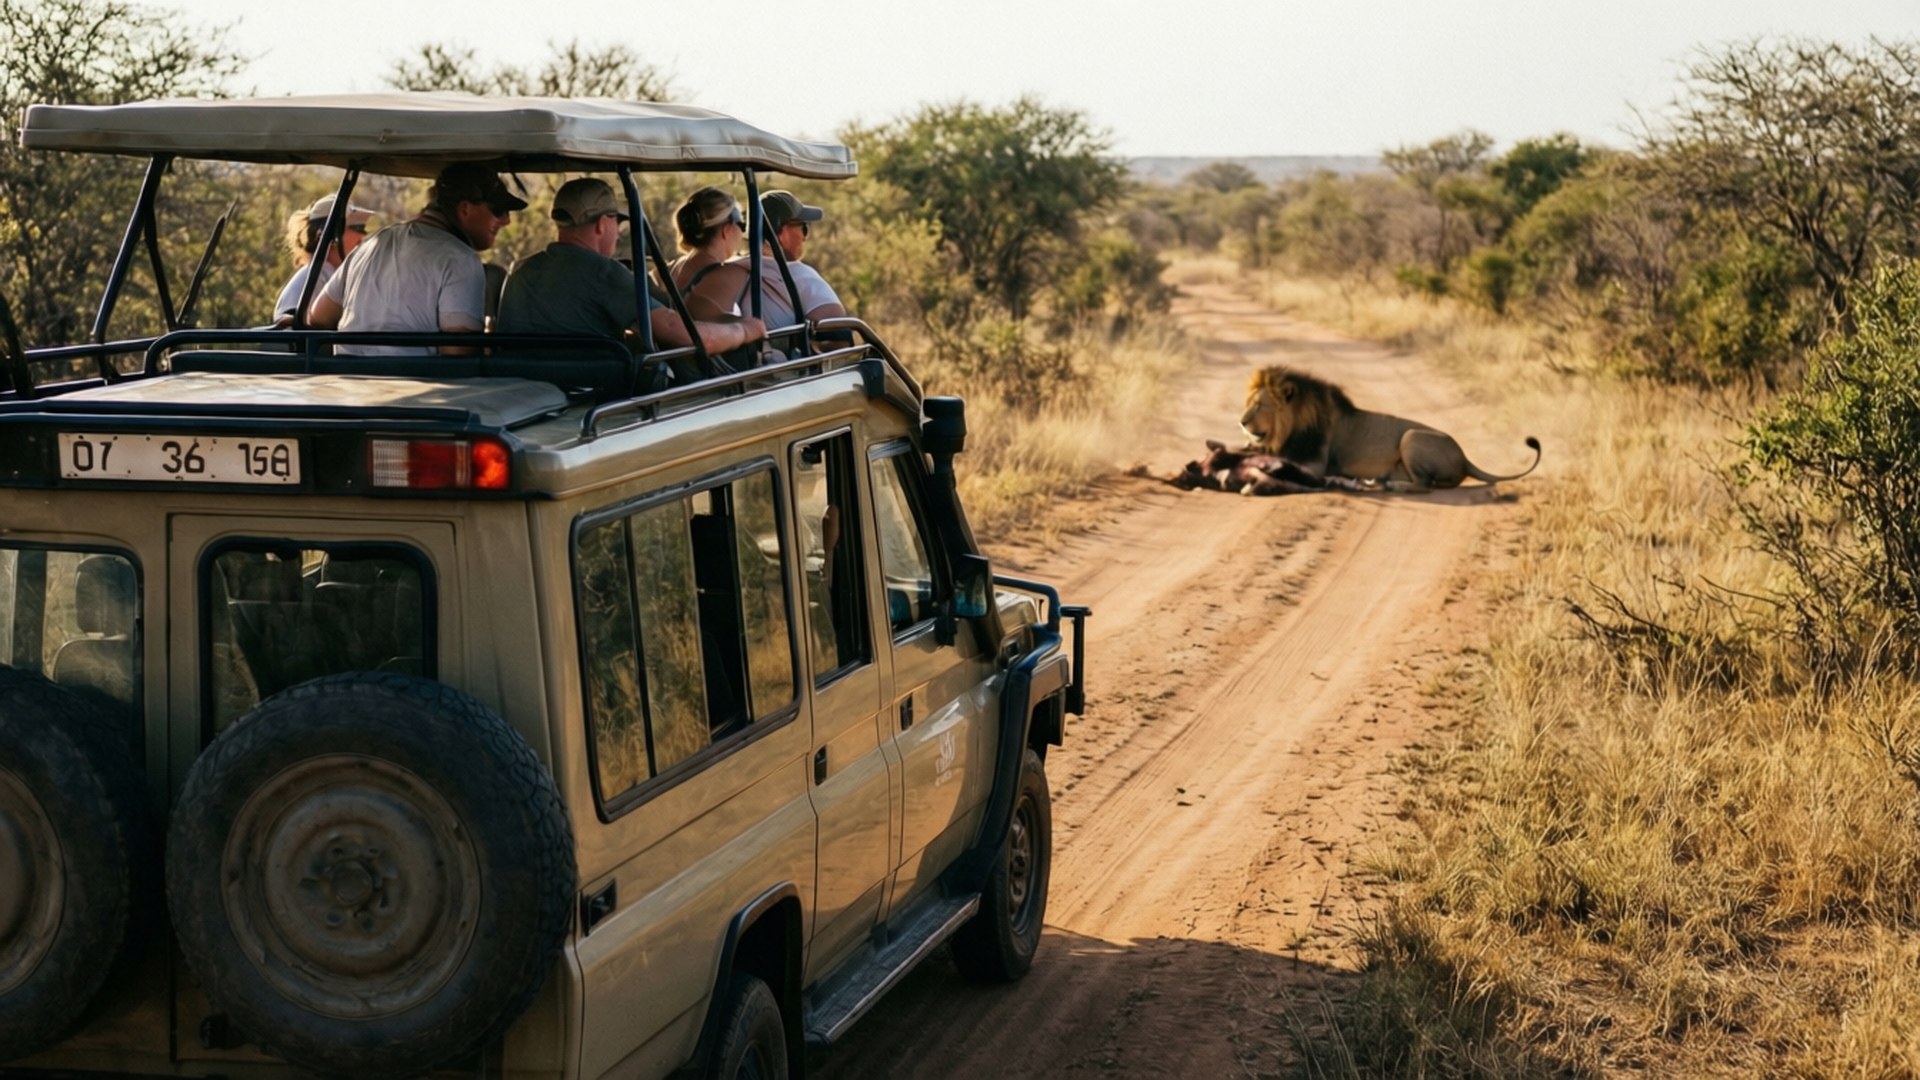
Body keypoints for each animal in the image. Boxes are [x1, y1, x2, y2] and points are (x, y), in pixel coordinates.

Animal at [1239, 366, 1540, 491]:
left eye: (1259, 405)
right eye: (1249, 403)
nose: (1241, 421)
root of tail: (1466, 458)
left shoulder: (1315, 464)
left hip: (1411, 436)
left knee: (1425, 485)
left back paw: (1392, 485)